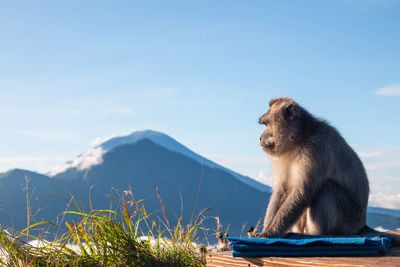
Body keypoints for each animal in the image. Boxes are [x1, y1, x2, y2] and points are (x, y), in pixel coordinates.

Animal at [258, 97, 398, 246]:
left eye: (267, 125)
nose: (260, 137)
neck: (301, 139)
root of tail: (361, 226)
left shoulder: (315, 150)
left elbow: (302, 192)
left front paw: (270, 233)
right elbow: (282, 191)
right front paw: (266, 230)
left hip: (348, 220)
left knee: (326, 188)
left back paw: (319, 234)